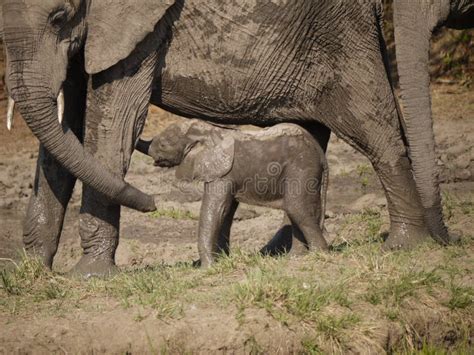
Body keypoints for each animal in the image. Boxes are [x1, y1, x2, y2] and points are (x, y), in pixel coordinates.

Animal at [137, 120, 330, 268]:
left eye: (163, 145)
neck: (206, 131)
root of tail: (320, 153)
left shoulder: (222, 173)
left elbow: (215, 210)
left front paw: (208, 267)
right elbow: (226, 212)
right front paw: (221, 260)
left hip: (302, 167)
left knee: (296, 207)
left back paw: (320, 254)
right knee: (294, 210)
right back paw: (295, 258)